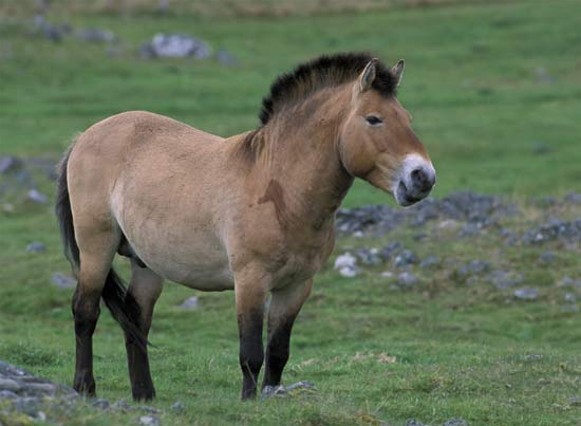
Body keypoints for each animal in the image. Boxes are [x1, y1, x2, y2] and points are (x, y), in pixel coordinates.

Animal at [55, 51, 436, 402]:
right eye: (373, 119)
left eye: (408, 118)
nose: (423, 177)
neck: (281, 190)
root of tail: (84, 137)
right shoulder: (251, 281)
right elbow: (251, 353)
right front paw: (250, 402)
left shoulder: (296, 287)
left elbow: (278, 352)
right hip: (96, 246)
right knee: (85, 311)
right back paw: (85, 388)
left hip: (145, 263)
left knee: (136, 319)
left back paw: (144, 395)